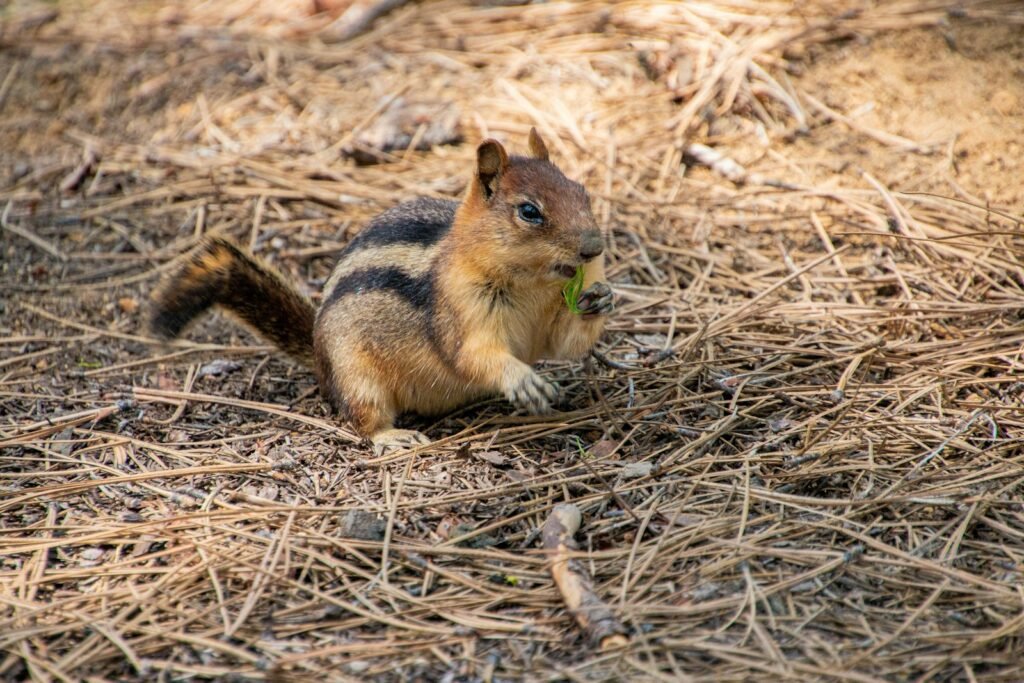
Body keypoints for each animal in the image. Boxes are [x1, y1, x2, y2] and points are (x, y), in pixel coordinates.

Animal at [150, 129, 613, 454]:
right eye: (529, 211)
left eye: (581, 191)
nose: (595, 248)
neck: (532, 284)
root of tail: (317, 352)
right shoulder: (460, 309)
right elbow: (472, 354)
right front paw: (522, 380)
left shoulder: (549, 315)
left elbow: (565, 342)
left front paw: (600, 298)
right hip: (357, 377)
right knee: (362, 422)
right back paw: (394, 437)